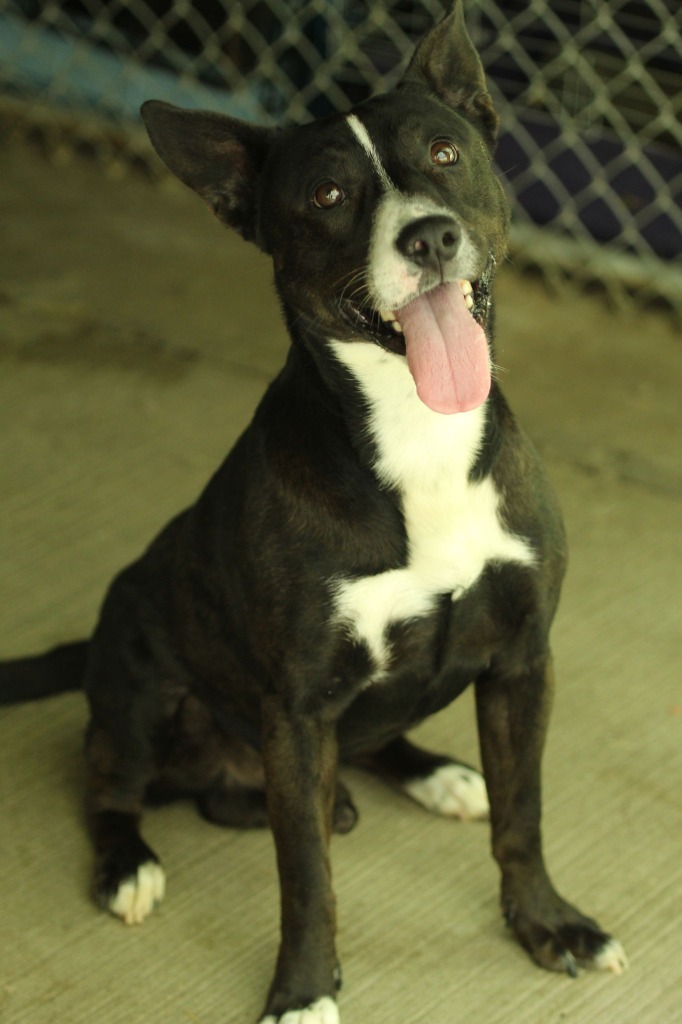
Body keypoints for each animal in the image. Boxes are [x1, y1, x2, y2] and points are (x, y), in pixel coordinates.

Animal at [1, 4, 626, 1019]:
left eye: (445, 154)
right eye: (329, 195)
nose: (428, 239)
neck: (417, 436)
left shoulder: (523, 660)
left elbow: (523, 816)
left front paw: (547, 923)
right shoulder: (296, 713)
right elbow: (306, 877)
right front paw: (300, 989)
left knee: (371, 746)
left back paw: (432, 773)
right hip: (139, 678)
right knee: (108, 783)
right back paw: (128, 862)